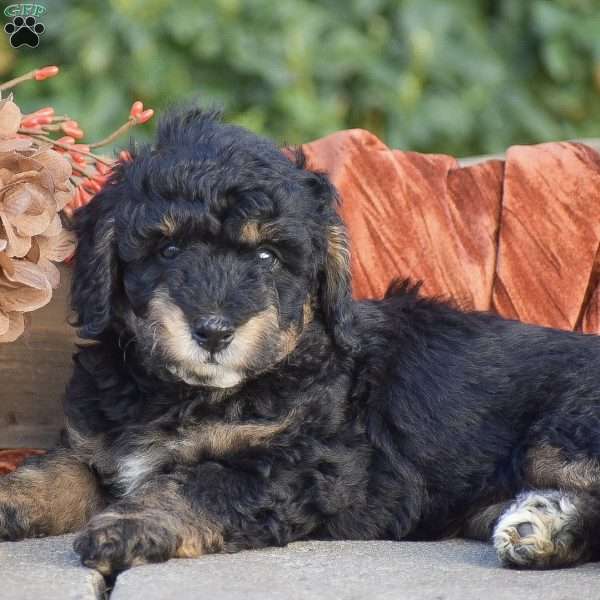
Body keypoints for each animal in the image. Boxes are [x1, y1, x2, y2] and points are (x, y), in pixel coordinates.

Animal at [1, 109, 600, 576]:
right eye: (168, 250)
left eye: (268, 257)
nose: (213, 331)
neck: (185, 395)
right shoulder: (97, 447)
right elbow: (53, 473)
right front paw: (10, 499)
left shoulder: (298, 464)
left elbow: (198, 483)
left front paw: (127, 525)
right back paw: (540, 528)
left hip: (560, 434)